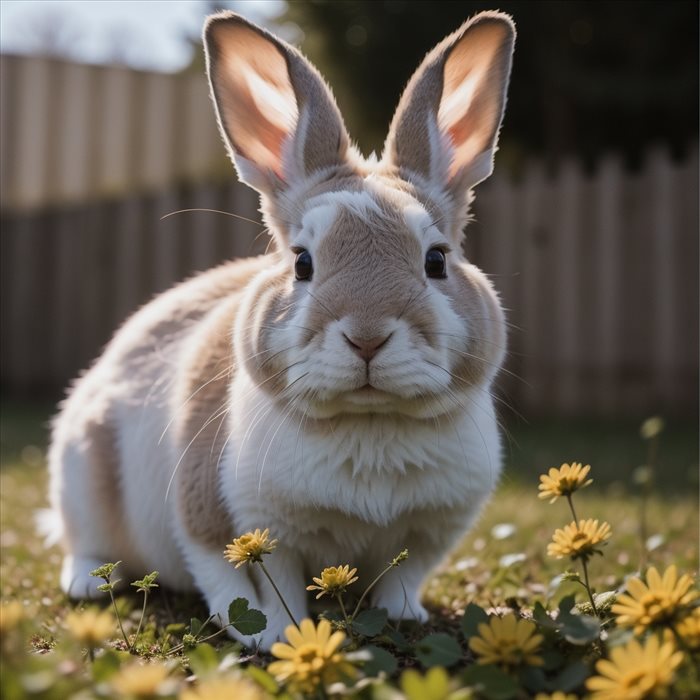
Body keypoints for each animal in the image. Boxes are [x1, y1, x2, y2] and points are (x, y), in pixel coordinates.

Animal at [47, 8, 516, 648]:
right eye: (302, 262)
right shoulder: (224, 520)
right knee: (84, 542)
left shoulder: (430, 533)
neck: (369, 425)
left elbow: (403, 578)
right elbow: (248, 583)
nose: (367, 337)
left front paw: (405, 617)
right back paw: (89, 585)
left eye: (437, 260)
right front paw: (270, 635)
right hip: (80, 475)